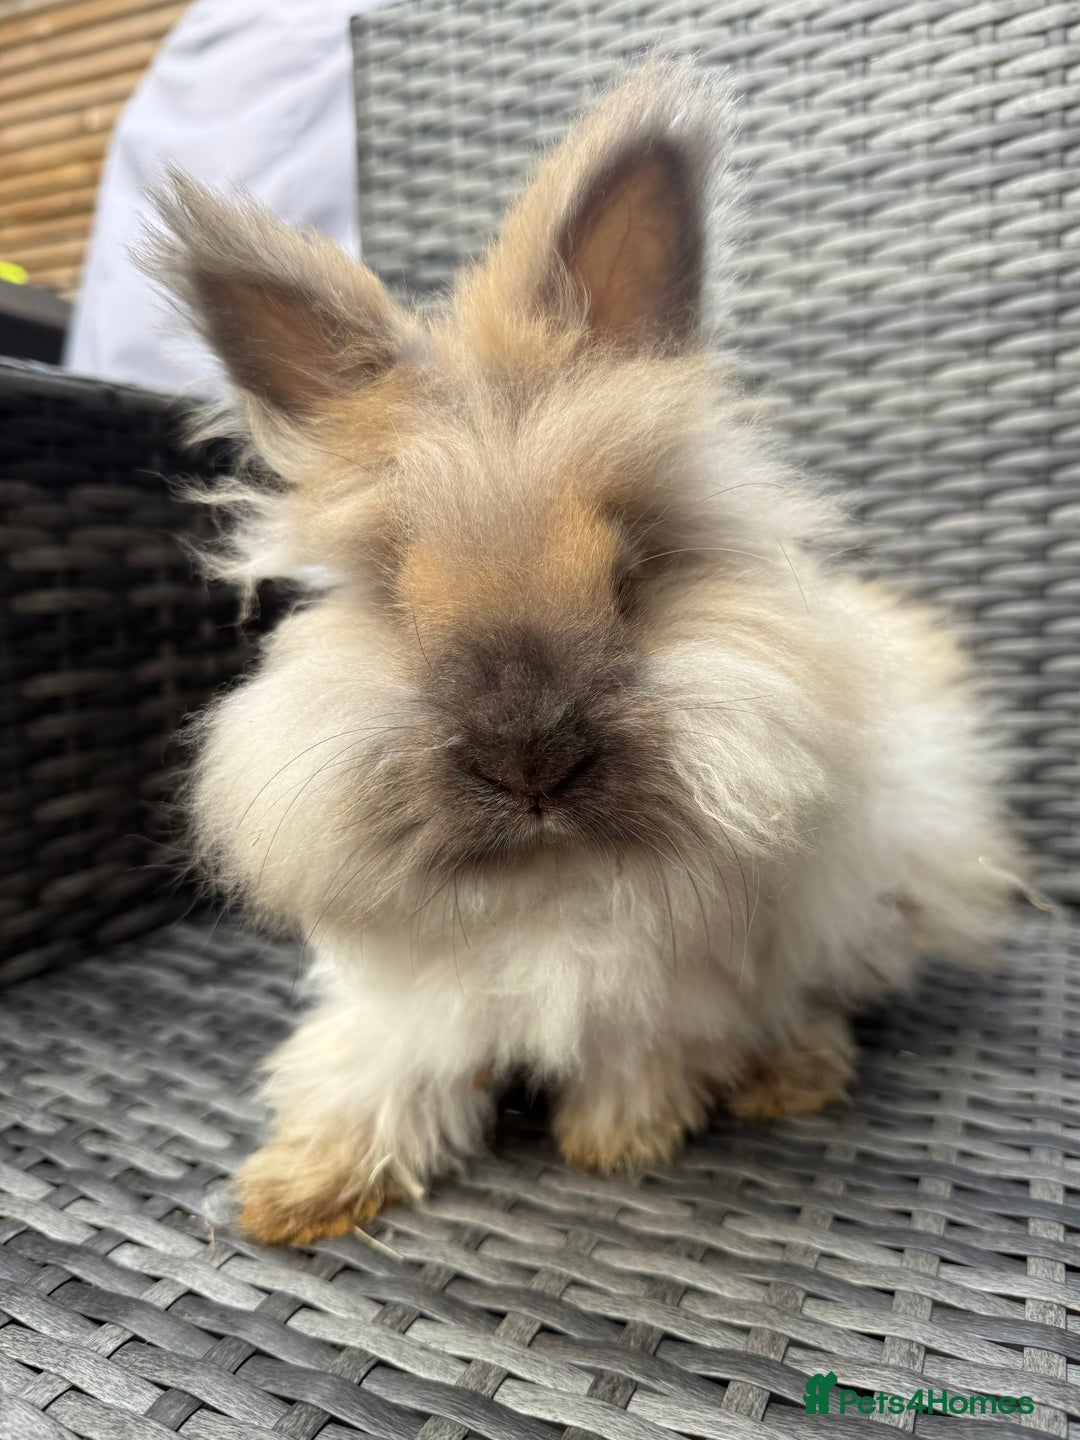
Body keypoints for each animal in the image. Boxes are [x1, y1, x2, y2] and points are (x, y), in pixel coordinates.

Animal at [147, 60, 1021, 1246]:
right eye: (392, 589)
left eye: (631, 572)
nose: (532, 762)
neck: (548, 875)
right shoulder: (406, 1003)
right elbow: (373, 1073)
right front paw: (292, 1195)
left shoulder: (673, 990)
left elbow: (642, 1055)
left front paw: (619, 1141)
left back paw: (789, 1077)